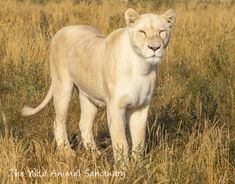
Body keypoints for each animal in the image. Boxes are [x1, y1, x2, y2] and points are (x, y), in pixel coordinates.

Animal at [22, 7, 175, 162]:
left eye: (161, 31)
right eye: (142, 32)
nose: (154, 47)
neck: (142, 66)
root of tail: (63, 29)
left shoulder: (141, 107)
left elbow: (139, 140)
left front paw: (138, 164)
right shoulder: (115, 107)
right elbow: (121, 141)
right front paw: (124, 166)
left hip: (88, 96)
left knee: (84, 123)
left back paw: (94, 152)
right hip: (62, 86)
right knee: (58, 121)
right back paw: (66, 152)